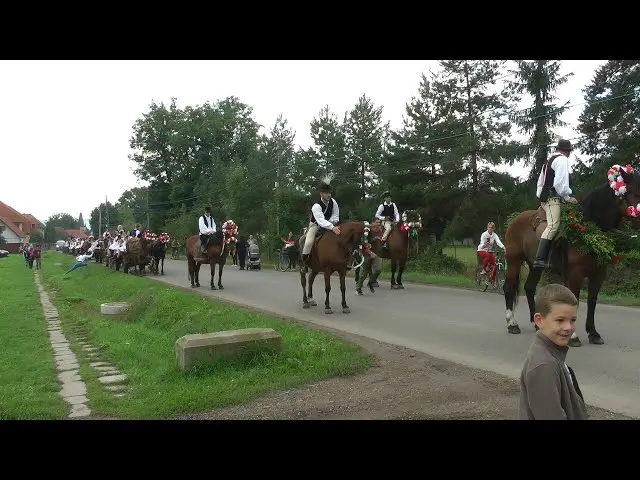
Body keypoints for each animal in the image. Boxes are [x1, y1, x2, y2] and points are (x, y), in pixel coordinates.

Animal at [500, 164, 640, 344]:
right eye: (634, 192)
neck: (588, 228)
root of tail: (515, 220)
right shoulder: (575, 275)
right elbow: (574, 299)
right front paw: (573, 337)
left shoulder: (598, 274)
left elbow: (592, 301)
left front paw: (593, 333)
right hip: (514, 261)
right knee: (509, 287)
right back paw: (512, 324)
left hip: (534, 266)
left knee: (529, 288)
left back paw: (537, 325)